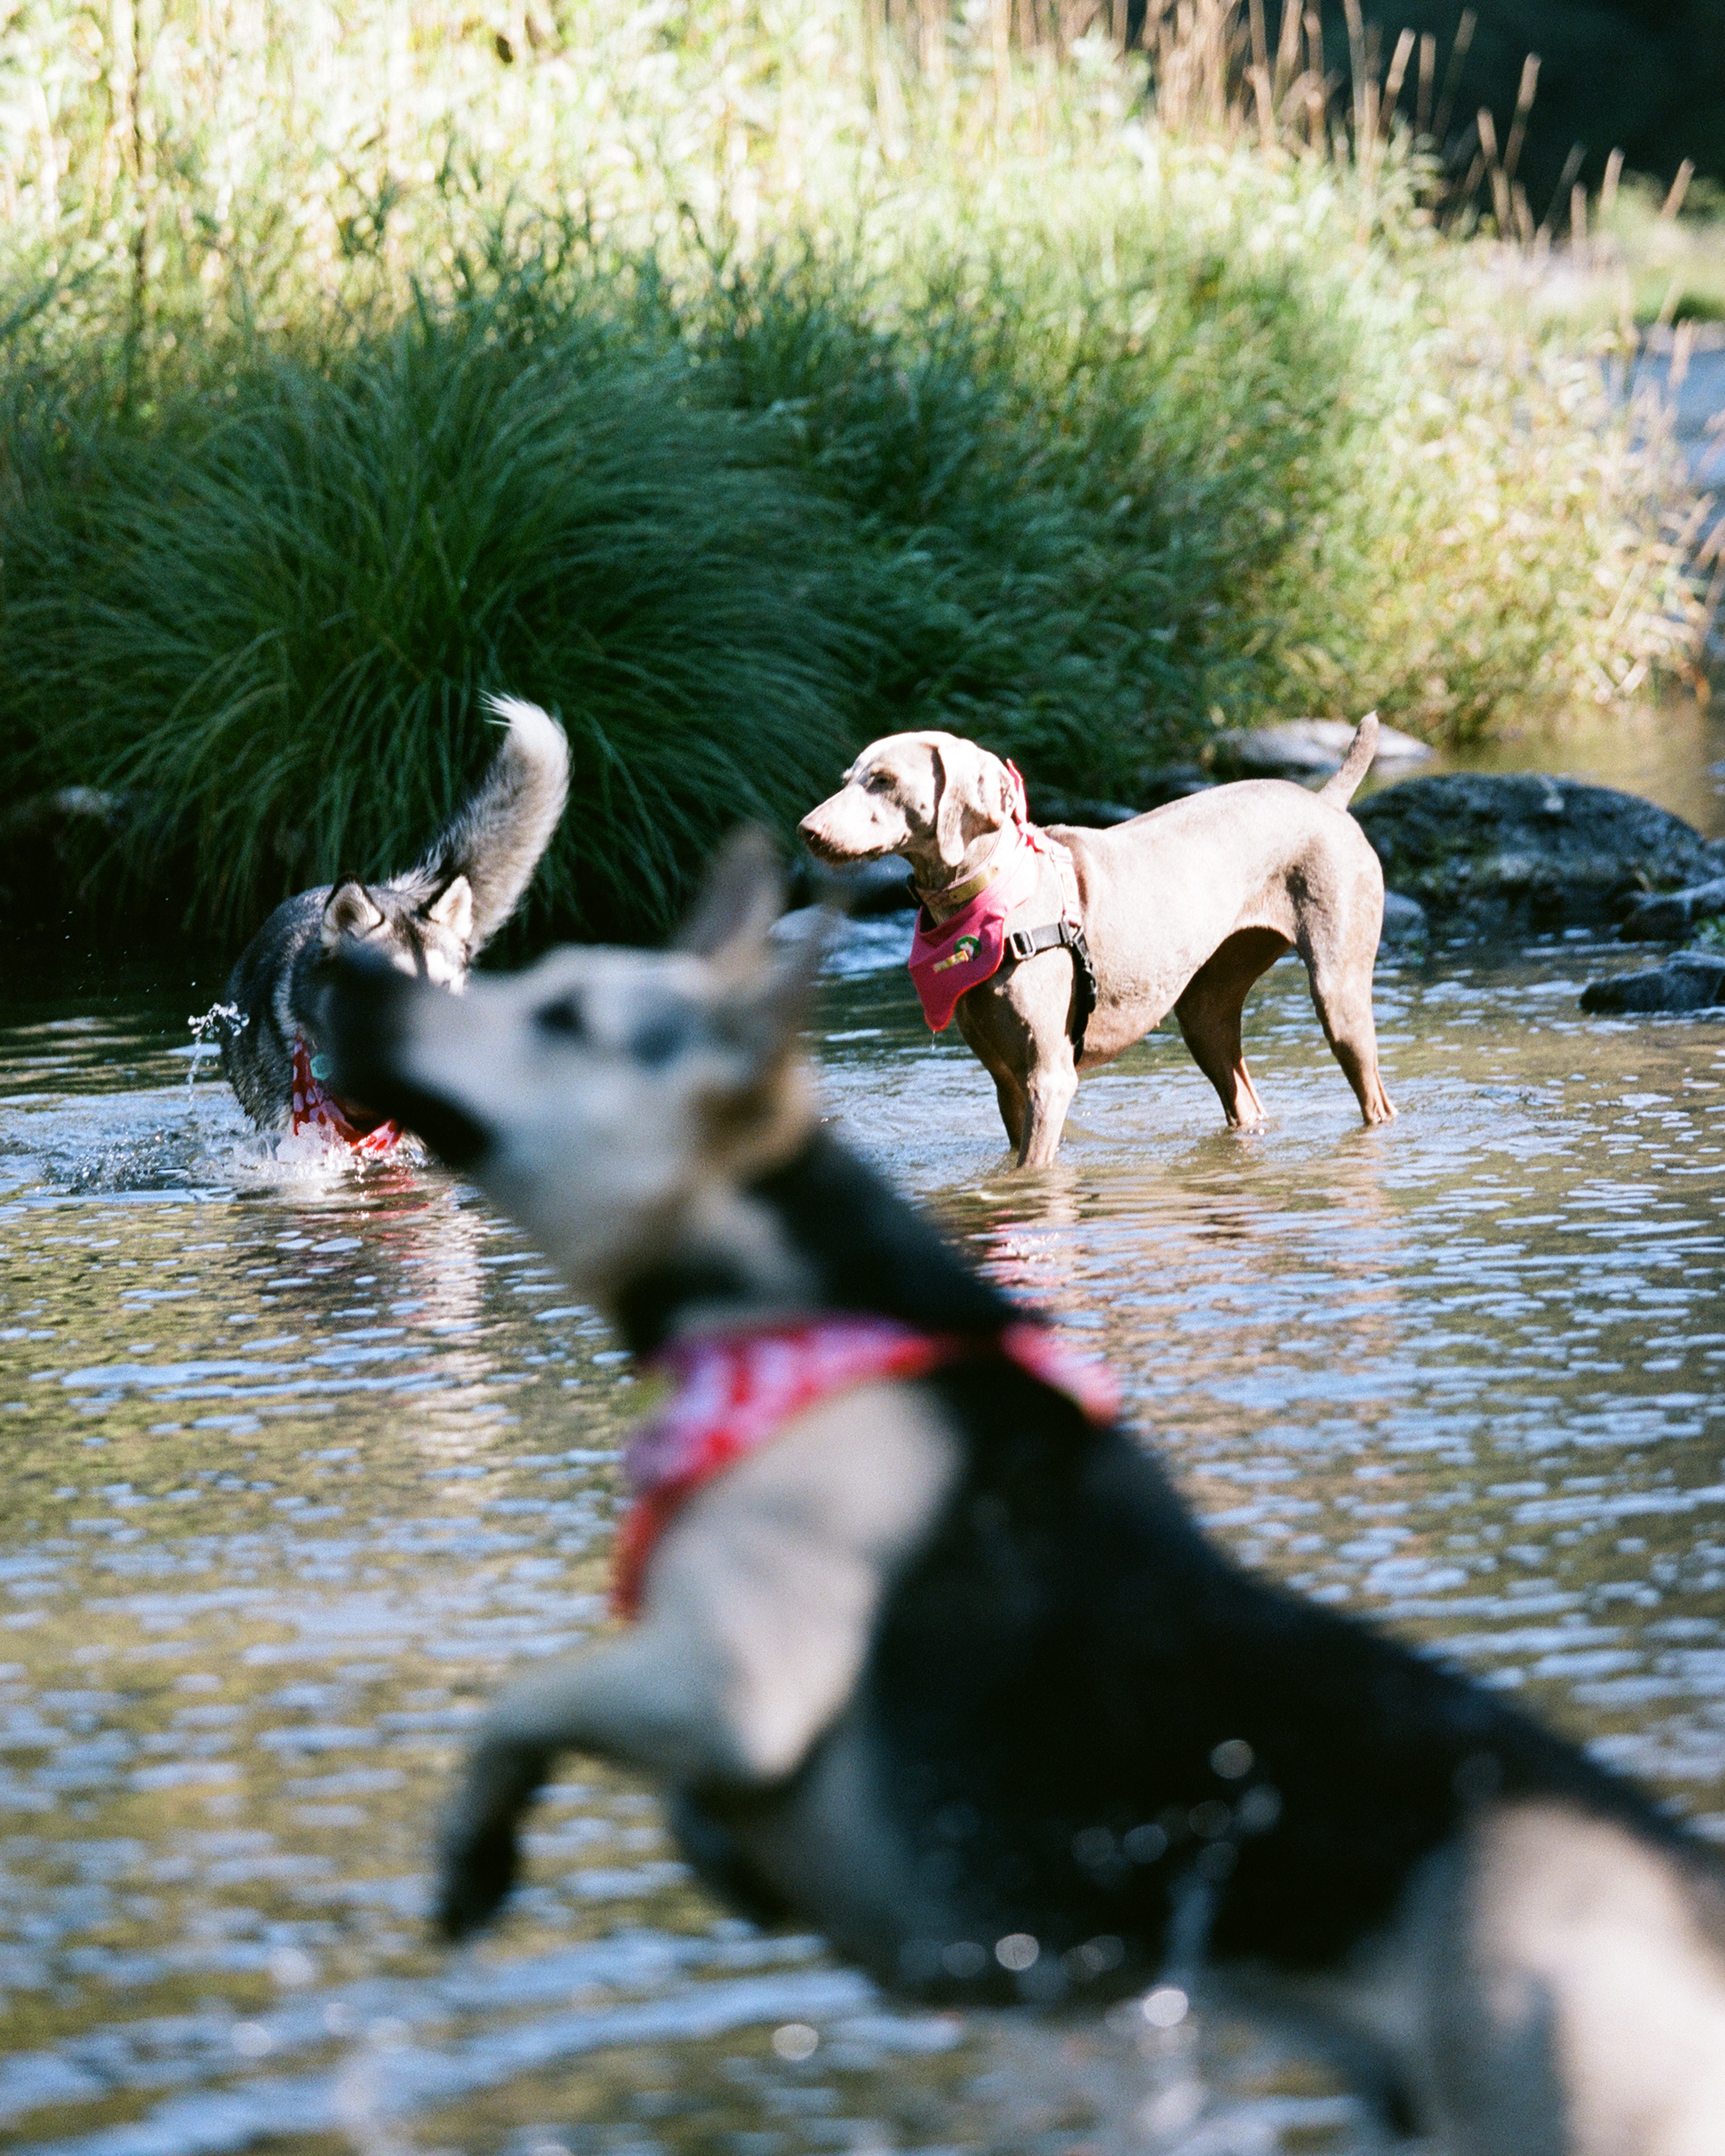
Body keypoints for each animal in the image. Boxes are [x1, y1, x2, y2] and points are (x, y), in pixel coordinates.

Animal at [802, 715, 1397, 1164]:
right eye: (848, 777)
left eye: (883, 779)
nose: (807, 830)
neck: (990, 892)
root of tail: (1327, 802)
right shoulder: (1007, 1080)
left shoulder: (1048, 1077)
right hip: (1206, 1011)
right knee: (1243, 1097)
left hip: (1338, 989)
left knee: (1375, 1098)